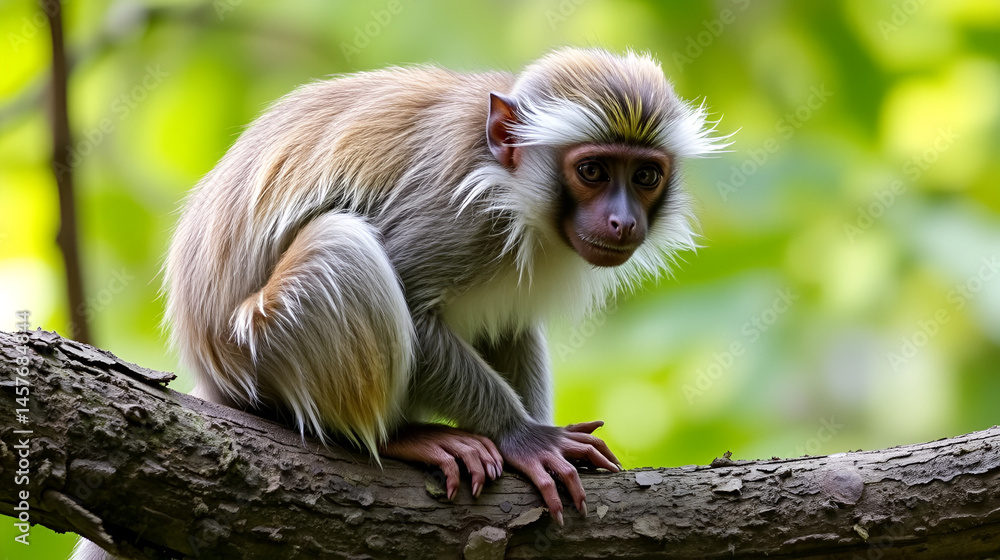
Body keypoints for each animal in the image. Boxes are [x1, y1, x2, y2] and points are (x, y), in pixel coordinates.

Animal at [72, 47, 726, 560]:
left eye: (644, 176)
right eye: (592, 171)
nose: (622, 220)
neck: (512, 191)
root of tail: (212, 369)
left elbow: (507, 328)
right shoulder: (457, 213)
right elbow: (411, 301)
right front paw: (523, 437)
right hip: (261, 346)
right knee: (344, 246)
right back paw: (398, 437)